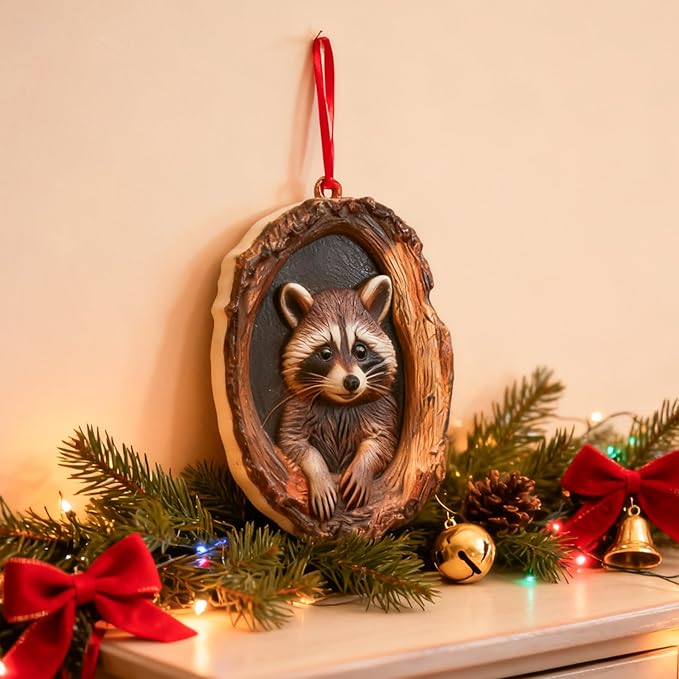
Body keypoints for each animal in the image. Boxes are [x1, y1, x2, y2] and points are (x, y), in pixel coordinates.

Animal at [277, 275, 398, 521]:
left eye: (361, 351)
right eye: (325, 353)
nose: (352, 382)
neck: (340, 405)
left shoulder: (382, 408)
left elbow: (382, 442)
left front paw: (363, 466)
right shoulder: (296, 407)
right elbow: (293, 443)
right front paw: (320, 474)